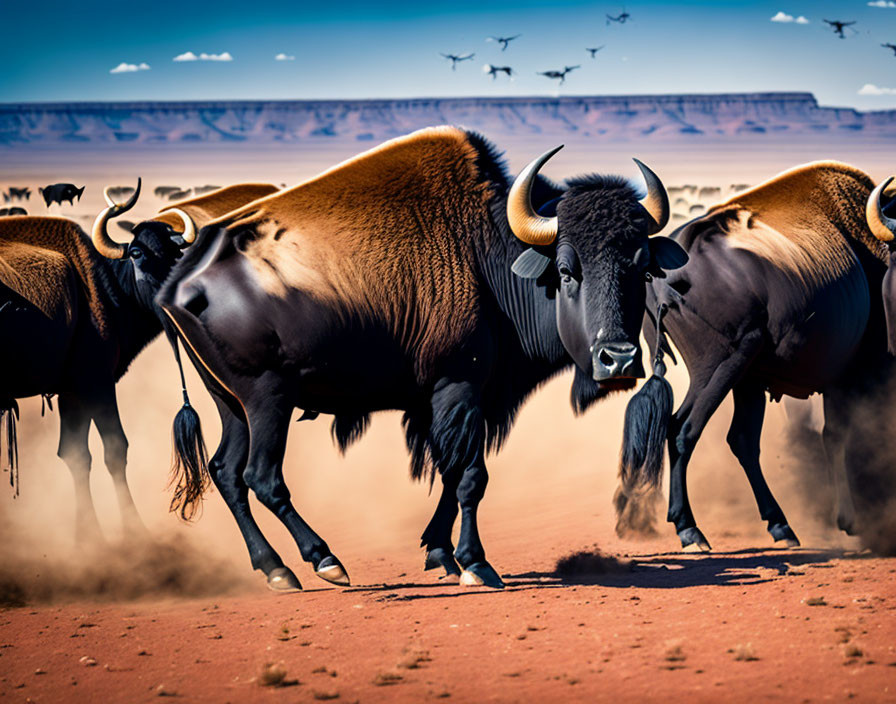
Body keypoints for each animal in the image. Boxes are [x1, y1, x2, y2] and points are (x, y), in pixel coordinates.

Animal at [0, 180, 278, 540]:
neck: (98, 288)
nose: (170, 296)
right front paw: (133, 532)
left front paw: (88, 536)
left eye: (177, 254)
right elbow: (115, 449)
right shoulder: (96, 384)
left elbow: (75, 454)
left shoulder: (71, 391)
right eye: (136, 253)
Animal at [158, 126, 688, 588]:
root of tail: (180, 282)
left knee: (227, 473)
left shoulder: (459, 404)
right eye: (565, 269)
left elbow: (450, 475)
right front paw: (477, 565)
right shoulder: (459, 390)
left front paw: (441, 555)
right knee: (262, 476)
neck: (487, 251)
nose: (618, 360)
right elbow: (470, 475)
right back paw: (325, 562)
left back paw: (276, 571)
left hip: (231, 405)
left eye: (643, 267)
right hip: (269, 401)